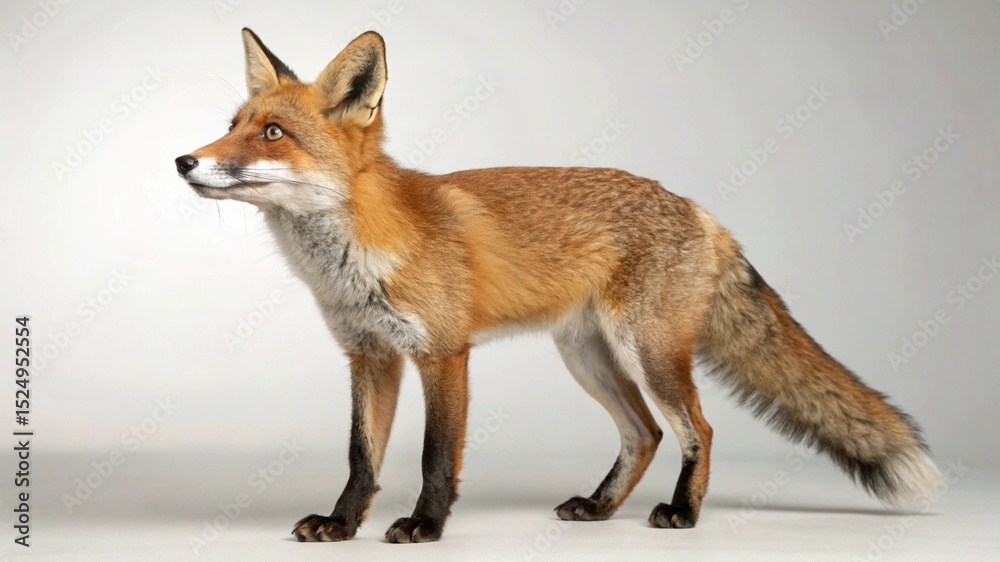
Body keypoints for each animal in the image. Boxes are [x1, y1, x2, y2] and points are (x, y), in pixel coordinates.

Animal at [175, 28, 941, 543]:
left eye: (273, 133)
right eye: (232, 126)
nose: (183, 160)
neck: (356, 254)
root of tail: (702, 212)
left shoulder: (443, 355)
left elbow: (433, 456)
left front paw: (425, 527)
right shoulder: (370, 356)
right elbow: (362, 457)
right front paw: (341, 524)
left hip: (649, 354)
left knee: (697, 429)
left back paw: (684, 511)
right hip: (588, 359)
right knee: (644, 435)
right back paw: (600, 508)